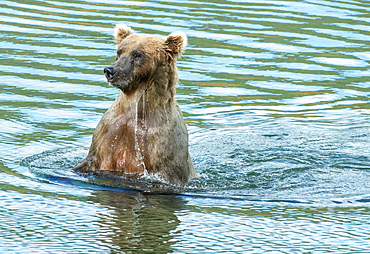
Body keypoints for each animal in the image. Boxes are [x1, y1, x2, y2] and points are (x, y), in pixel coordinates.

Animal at [73, 23, 198, 186]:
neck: (136, 108)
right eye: (119, 52)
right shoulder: (109, 131)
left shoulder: (162, 142)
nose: (110, 70)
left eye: (138, 54)